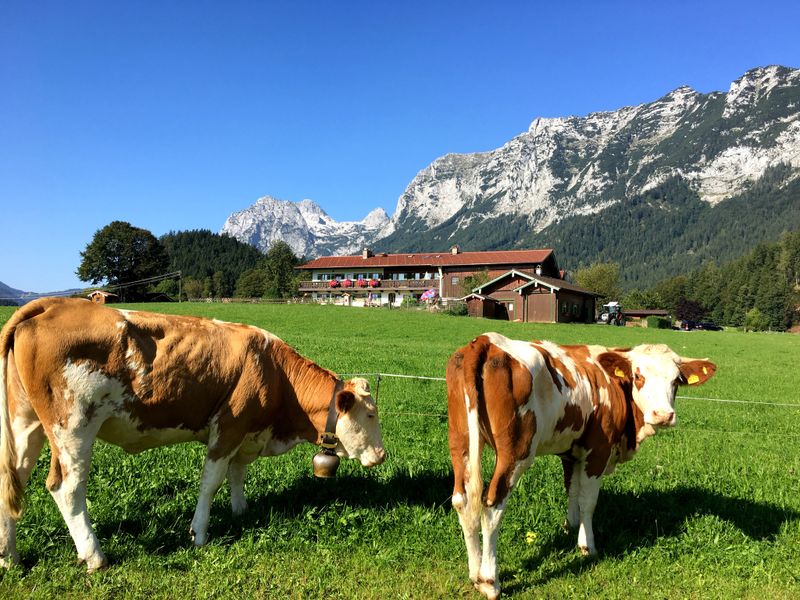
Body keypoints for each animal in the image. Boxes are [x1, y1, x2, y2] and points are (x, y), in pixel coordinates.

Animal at [0, 298, 388, 572]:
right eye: (370, 414)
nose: (382, 455)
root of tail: (51, 304)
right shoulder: (228, 427)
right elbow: (211, 482)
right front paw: (199, 533)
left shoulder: (247, 431)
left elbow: (237, 474)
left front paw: (241, 511)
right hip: (74, 426)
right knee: (66, 488)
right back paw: (94, 556)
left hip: (26, 424)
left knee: (12, 480)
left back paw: (10, 557)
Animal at [446, 330, 716, 596]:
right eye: (639, 376)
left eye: (676, 381)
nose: (663, 415)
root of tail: (486, 341)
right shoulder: (597, 452)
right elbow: (588, 501)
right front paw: (587, 546)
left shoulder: (571, 452)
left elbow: (572, 490)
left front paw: (571, 526)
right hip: (515, 452)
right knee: (492, 505)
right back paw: (490, 581)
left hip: (461, 441)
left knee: (463, 500)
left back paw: (474, 573)